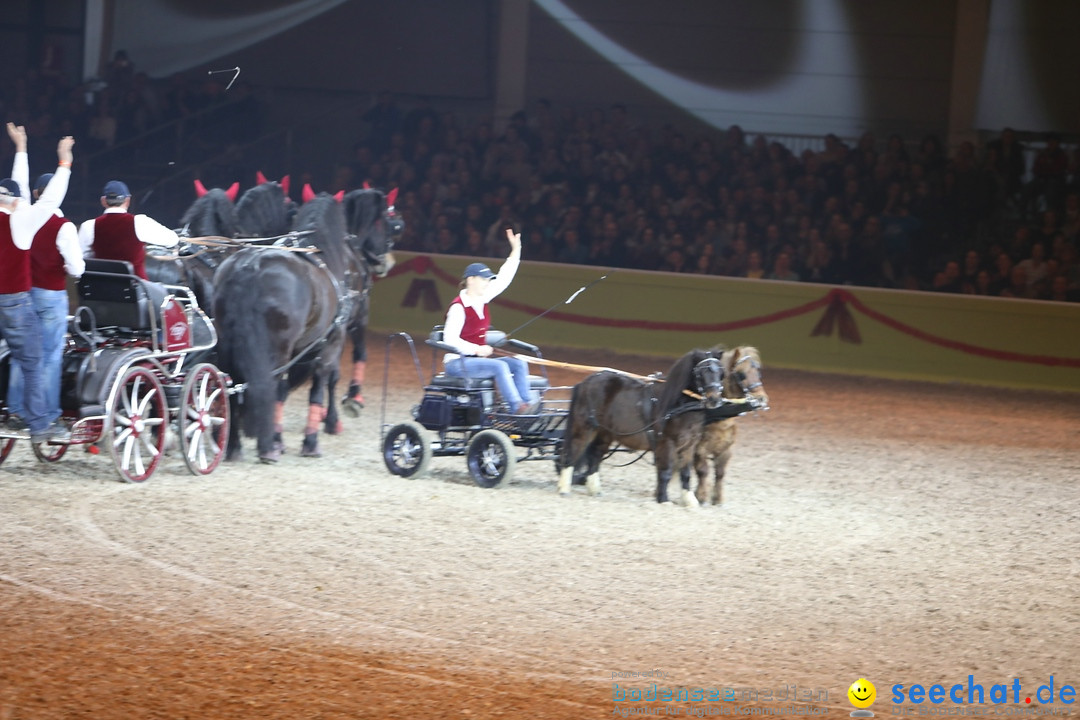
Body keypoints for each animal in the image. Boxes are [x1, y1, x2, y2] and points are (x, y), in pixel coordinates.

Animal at [211, 188, 397, 464]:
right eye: (387, 221)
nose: (386, 263)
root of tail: (249, 265)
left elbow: (286, 391)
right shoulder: (336, 337)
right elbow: (325, 382)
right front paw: (318, 434)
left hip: (228, 343)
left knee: (233, 383)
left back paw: (234, 446)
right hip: (278, 347)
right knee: (269, 383)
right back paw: (266, 447)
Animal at [557, 345, 725, 505]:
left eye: (721, 373)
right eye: (701, 373)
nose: (714, 400)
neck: (678, 405)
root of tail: (585, 382)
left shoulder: (689, 445)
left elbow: (685, 473)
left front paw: (690, 501)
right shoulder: (666, 443)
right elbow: (666, 471)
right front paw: (663, 499)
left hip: (604, 433)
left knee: (594, 456)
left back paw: (595, 490)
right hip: (584, 427)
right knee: (573, 452)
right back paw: (564, 489)